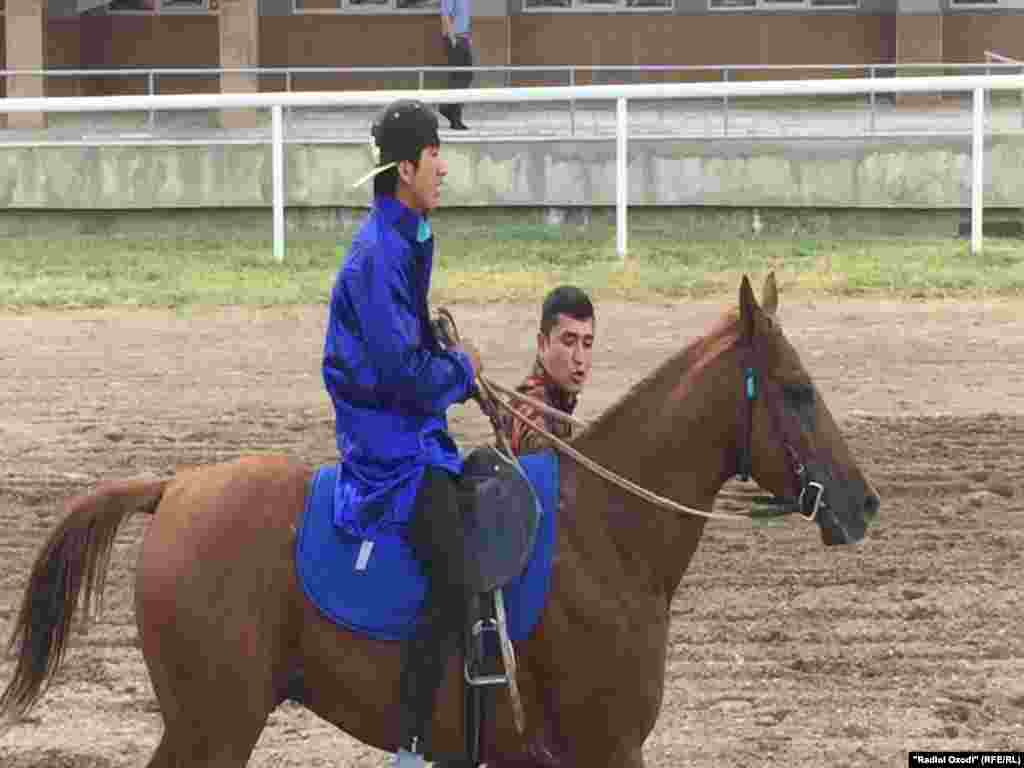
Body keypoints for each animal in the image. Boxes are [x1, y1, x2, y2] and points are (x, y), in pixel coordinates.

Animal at [2, 276, 880, 768]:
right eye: (798, 390)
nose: (863, 502)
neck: (602, 536)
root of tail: (174, 487)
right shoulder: (610, 749)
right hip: (213, 727)